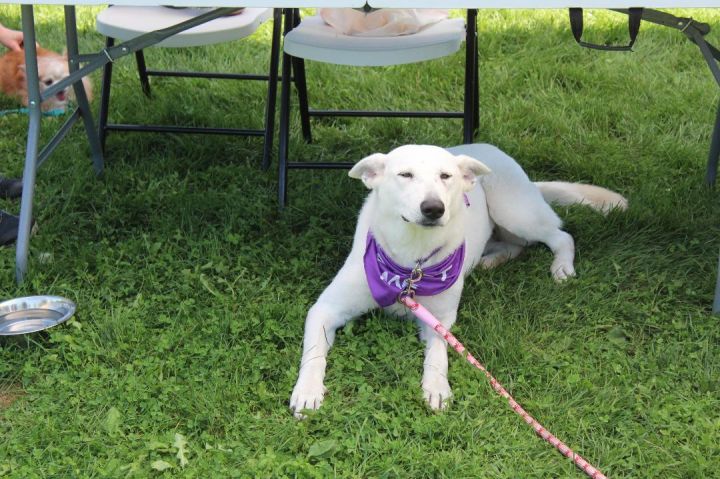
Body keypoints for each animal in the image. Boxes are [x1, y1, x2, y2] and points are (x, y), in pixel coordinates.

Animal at [290, 142, 628, 416]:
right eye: (405, 175)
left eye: (445, 176)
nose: (433, 208)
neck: (409, 266)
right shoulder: (325, 309)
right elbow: (313, 354)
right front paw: (307, 391)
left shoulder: (440, 319)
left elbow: (438, 354)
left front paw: (436, 387)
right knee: (518, 245)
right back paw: (491, 259)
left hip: (515, 212)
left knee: (560, 236)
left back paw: (561, 267)